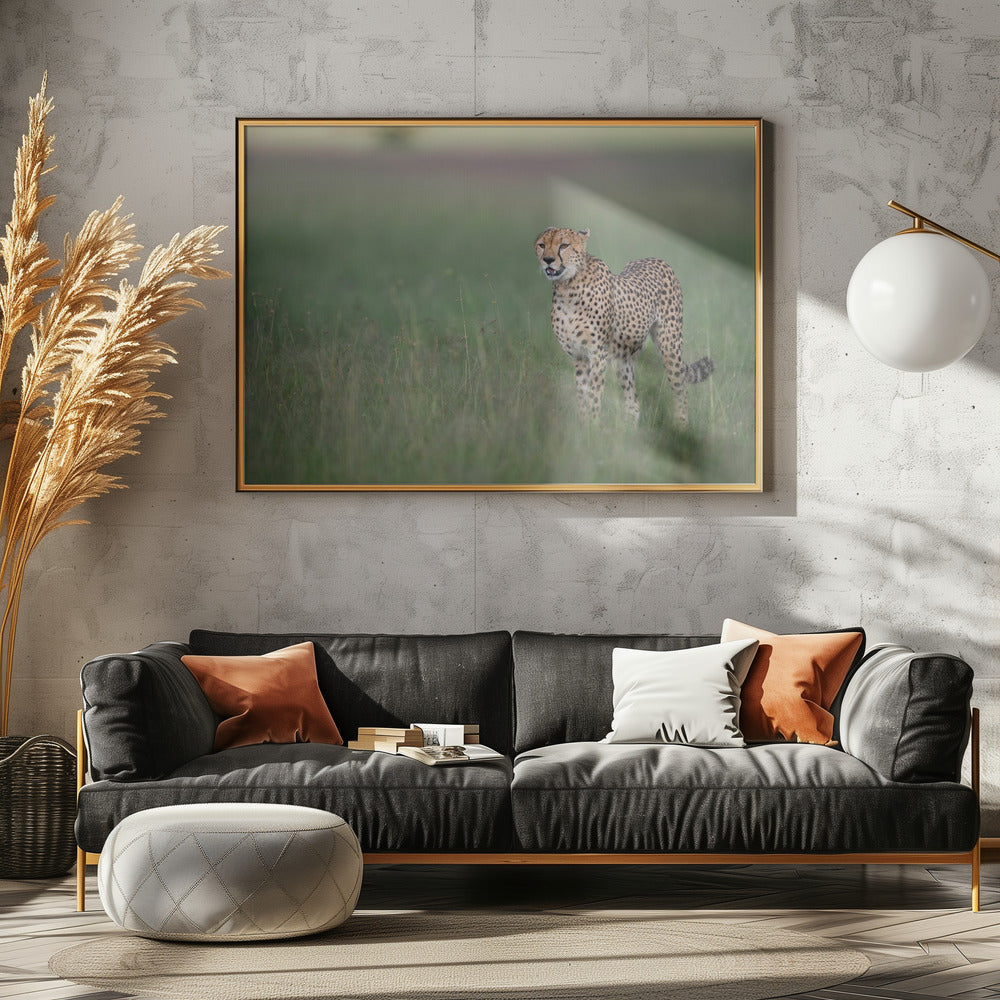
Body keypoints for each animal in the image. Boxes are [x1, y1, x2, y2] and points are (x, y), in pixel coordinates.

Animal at [534, 226, 714, 425]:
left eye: (564, 245)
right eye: (541, 245)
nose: (547, 260)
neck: (567, 287)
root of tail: (657, 259)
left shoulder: (598, 354)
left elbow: (594, 396)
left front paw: (592, 427)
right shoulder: (580, 356)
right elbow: (582, 395)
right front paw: (582, 425)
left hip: (669, 348)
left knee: (681, 389)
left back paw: (680, 426)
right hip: (623, 360)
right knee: (633, 403)